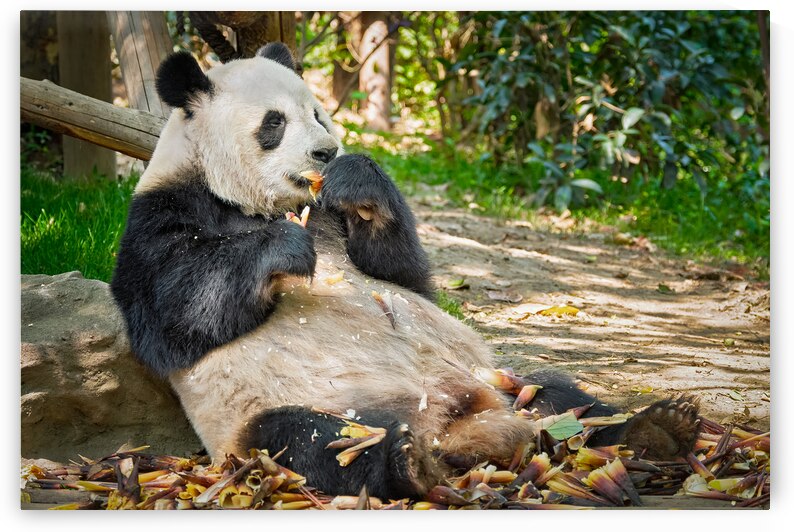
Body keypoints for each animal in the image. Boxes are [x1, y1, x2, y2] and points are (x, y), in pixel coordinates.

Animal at [110, 42, 700, 500]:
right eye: (273, 123)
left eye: (318, 114)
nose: (325, 152)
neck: (258, 204)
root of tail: (458, 426)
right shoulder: (159, 216)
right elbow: (175, 312)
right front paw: (283, 248)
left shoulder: (333, 218)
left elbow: (407, 279)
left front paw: (357, 181)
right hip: (270, 419)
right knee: (314, 440)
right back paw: (405, 462)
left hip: (498, 378)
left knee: (564, 398)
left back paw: (656, 429)